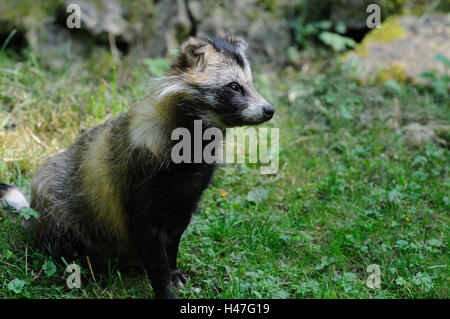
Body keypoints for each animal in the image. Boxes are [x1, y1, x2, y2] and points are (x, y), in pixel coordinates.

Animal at [0, 35, 274, 300]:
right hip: (58, 204)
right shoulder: (140, 183)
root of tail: (35, 215)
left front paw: (173, 270)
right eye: (234, 86)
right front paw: (164, 287)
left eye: (251, 83)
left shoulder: (189, 192)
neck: (192, 147)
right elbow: (149, 241)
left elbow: (174, 236)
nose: (269, 110)